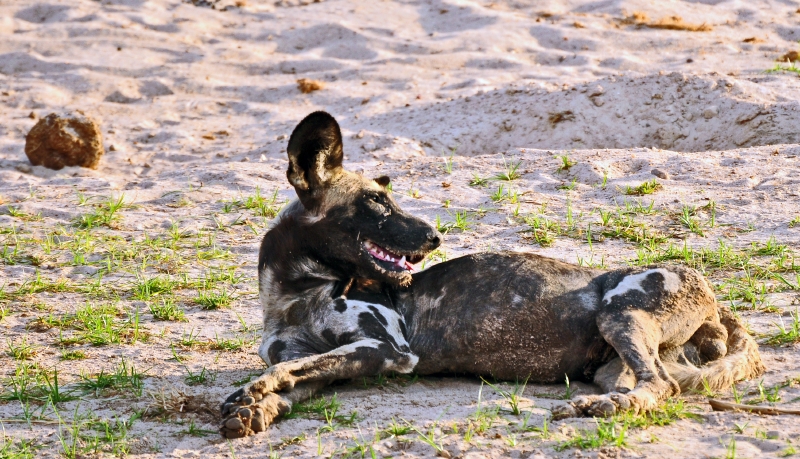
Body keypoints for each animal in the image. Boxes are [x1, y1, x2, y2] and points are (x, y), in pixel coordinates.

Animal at [219, 111, 764, 438]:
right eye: (376, 201)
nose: (435, 235)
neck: (295, 298)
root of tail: (717, 300)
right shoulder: (342, 357)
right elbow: (298, 376)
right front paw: (258, 410)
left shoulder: (386, 349)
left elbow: (288, 369)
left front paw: (254, 394)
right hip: (614, 360)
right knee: (645, 386)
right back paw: (595, 406)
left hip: (621, 314)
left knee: (662, 388)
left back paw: (599, 411)